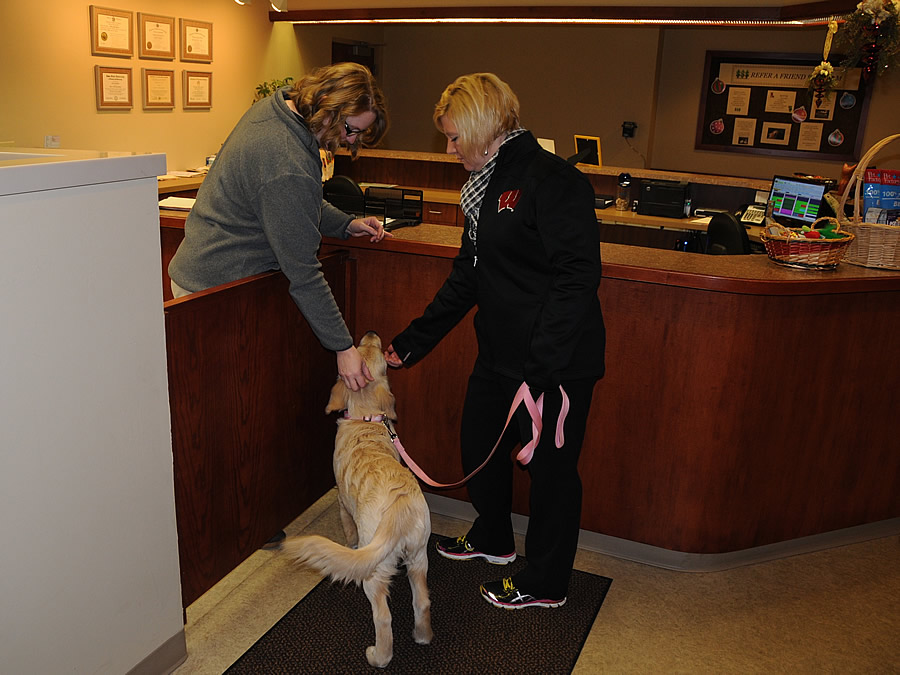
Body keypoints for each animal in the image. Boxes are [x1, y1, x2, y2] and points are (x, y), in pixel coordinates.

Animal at [284, 330, 434, 668]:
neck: (366, 418)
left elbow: (347, 531)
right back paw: (423, 635)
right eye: (368, 347)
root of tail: (399, 506)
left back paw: (378, 656)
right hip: (419, 557)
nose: (371, 333)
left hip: (374, 571)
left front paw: (348, 543)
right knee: (422, 602)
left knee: (384, 618)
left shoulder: (342, 503)